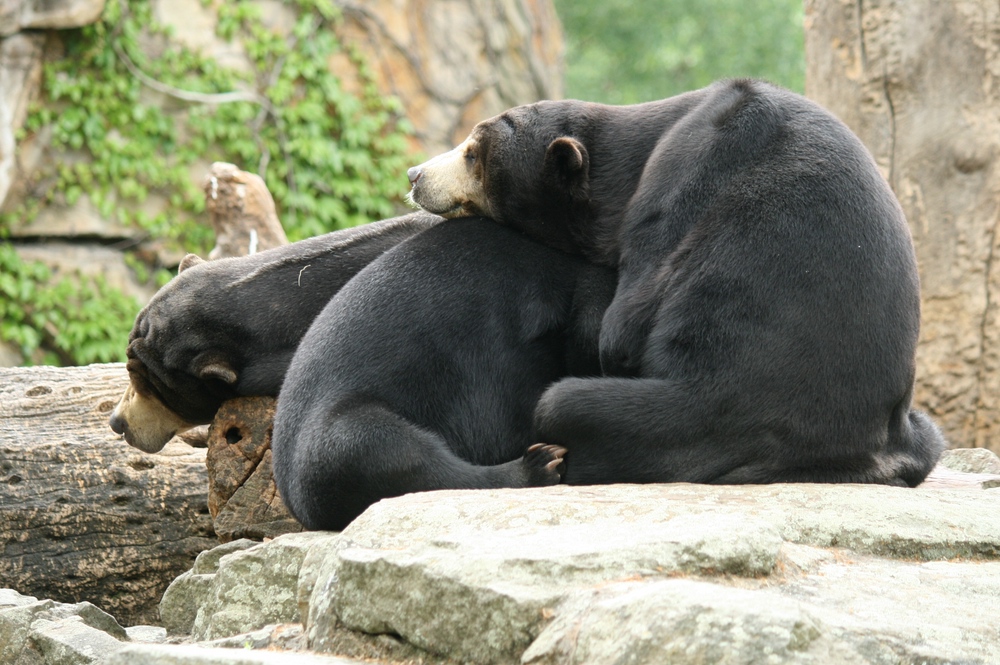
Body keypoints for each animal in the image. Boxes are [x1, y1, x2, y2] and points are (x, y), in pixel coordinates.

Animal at [274, 218, 616, 528]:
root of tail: (297, 505)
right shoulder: (496, 334)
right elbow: (496, 420)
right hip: (337, 436)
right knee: (398, 455)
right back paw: (539, 465)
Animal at [410, 79, 948, 488]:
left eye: (472, 154)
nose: (415, 175)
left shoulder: (688, 167)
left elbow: (624, 324)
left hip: (702, 416)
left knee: (566, 404)